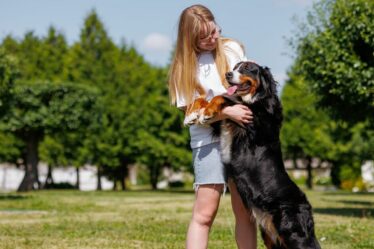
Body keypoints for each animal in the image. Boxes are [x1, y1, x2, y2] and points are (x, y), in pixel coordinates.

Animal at [187, 60, 322, 249]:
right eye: (234, 68)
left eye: (247, 68)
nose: (228, 74)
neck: (258, 99)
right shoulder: (225, 125)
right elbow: (208, 98)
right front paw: (194, 113)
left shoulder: (251, 120)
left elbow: (225, 98)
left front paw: (206, 111)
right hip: (270, 235)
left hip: (292, 231)